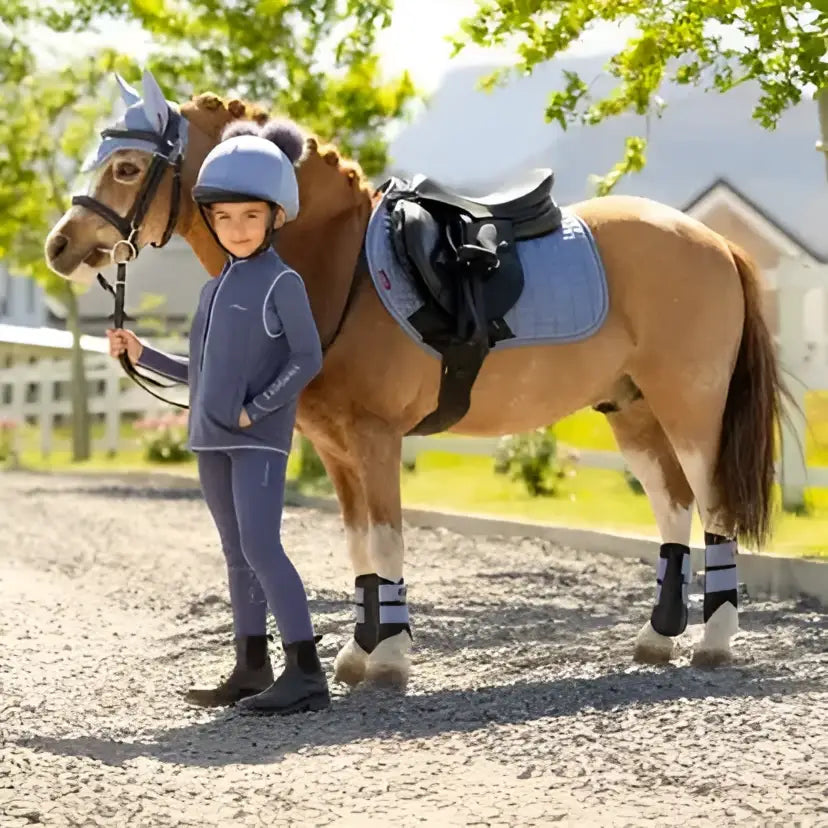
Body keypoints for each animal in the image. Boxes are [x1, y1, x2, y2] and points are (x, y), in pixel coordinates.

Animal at [45, 69, 785, 689]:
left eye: (127, 166)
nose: (60, 246)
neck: (333, 260)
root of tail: (713, 241)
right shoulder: (336, 448)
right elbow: (359, 547)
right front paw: (358, 654)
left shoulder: (376, 438)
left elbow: (387, 538)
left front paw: (390, 659)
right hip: (630, 409)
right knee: (674, 506)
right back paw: (657, 639)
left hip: (692, 407)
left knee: (714, 507)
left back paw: (713, 642)